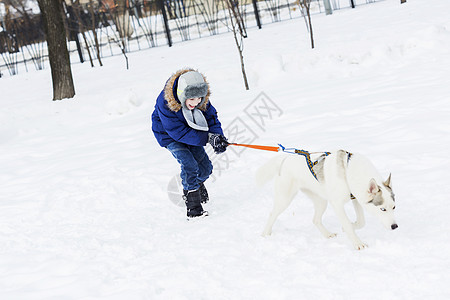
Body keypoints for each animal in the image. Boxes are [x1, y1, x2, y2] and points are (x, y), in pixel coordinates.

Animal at [256, 150, 398, 251]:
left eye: (394, 207)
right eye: (382, 209)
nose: (395, 226)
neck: (348, 172)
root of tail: (285, 159)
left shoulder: (356, 199)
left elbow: (361, 222)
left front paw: (350, 227)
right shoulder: (337, 204)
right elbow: (347, 224)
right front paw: (357, 243)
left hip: (321, 201)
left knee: (315, 220)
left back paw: (327, 234)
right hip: (285, 199)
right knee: (272, 214)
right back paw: (265, 234)